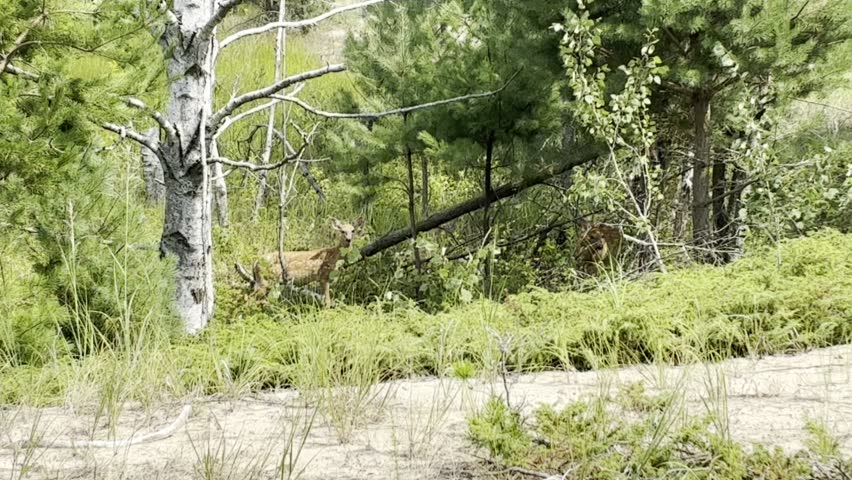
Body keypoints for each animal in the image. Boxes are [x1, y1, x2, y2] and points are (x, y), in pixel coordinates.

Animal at [235, 218, 364, 306]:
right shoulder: (323, 275)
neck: (334, 256)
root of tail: (256, 261)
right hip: (265, 281)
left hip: (262, 282)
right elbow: (327, 300)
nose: (348, 239)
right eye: (342, 231)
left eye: (353, 230)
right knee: (249, 299)